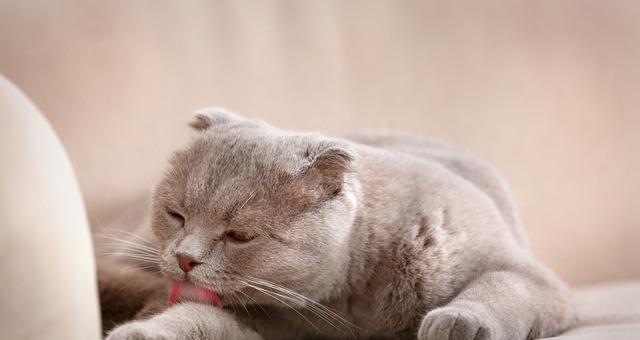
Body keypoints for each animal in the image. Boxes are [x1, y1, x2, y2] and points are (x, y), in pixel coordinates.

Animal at [100, 107, 576, 338]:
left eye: (239, 235)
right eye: (176, 215)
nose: (184, 258)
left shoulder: (529, 275)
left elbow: (501, 287)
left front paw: (457, 324)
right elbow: (196, 318)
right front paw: (141, 334)